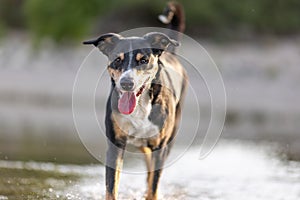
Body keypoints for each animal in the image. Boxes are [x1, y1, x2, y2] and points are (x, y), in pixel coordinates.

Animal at [82, 1, 185, 200]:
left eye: (143, 60)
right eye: (117, 60)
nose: (126, 83)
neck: (140, 107)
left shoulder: (159, 147)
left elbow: (154, 185)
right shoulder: (115, 144)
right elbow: (111, 186)